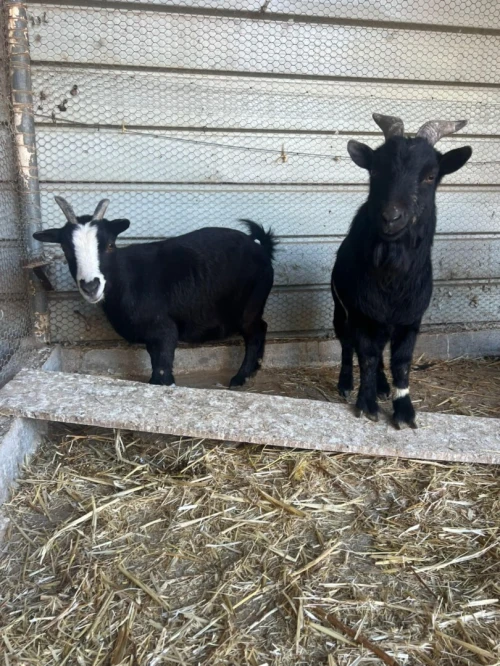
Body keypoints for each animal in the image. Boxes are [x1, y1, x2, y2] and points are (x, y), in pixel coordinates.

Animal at [34, 198, 277, 387]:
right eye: (65, 248)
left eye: (110, 244)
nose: (91, 286)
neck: (127, 278)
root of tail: (261, 248)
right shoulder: (151, 335)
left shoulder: (164, 329)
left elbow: (162, 373)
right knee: (261, 328)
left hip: (250, 306)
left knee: (255, 332)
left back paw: (240, 377)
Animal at [331, 114, 472, 428]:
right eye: (375, 171)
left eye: (430, 176)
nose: (391, 217)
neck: (392, 280)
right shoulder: (361, 314)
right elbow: (367, 356)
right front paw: (366, 402)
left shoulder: (411, 319)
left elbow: (402, 361)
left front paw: (404, 409)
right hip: (341, 309)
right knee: (347, 345)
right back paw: (346, 383)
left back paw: (383, 386)